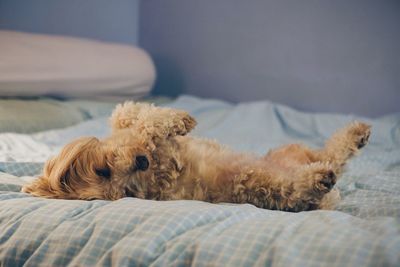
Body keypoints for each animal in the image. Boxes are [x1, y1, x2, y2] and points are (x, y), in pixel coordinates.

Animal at [21, 101, 372, 213]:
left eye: (102, 170)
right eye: (123, 192)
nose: (140, 163)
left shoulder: (128, 129)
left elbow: (128, 112)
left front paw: (177, 120)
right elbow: (144, 124)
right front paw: (171, 125)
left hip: (299, 153)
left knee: (335, 151)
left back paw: (356, 134)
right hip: (268, 184)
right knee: (306, 183)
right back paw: (320, 178)